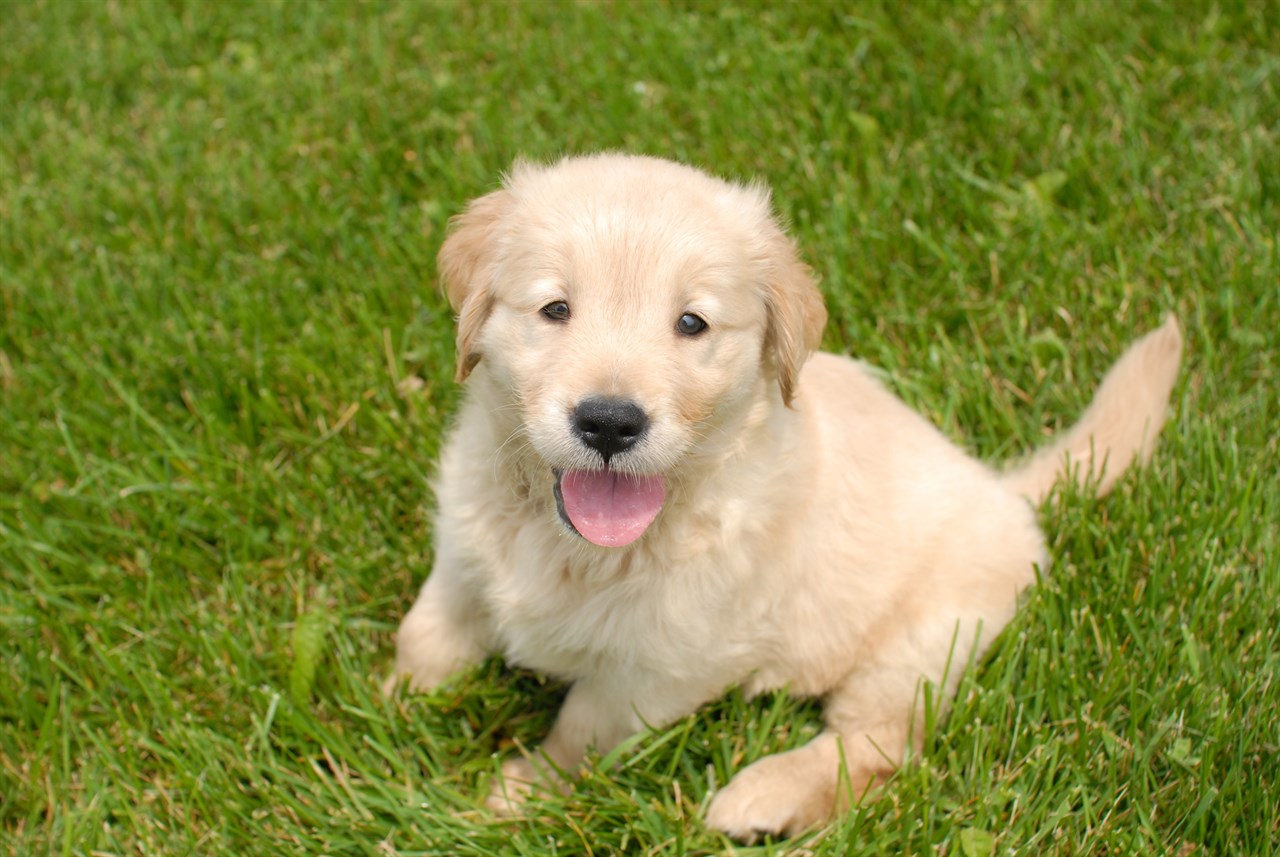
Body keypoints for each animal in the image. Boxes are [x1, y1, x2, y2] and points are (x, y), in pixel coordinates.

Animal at [384, 152, 1182, 839]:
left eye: (692, 323)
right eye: (555, 309)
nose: (609, 421)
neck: (572, 541)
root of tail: (1002, 489)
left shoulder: (661, 667)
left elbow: (581, 732)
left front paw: (517, 794)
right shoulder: (463, 555)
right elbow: (425, 633)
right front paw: (391, 700)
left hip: (925, 640)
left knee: (880, 745)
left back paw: (763, 798)